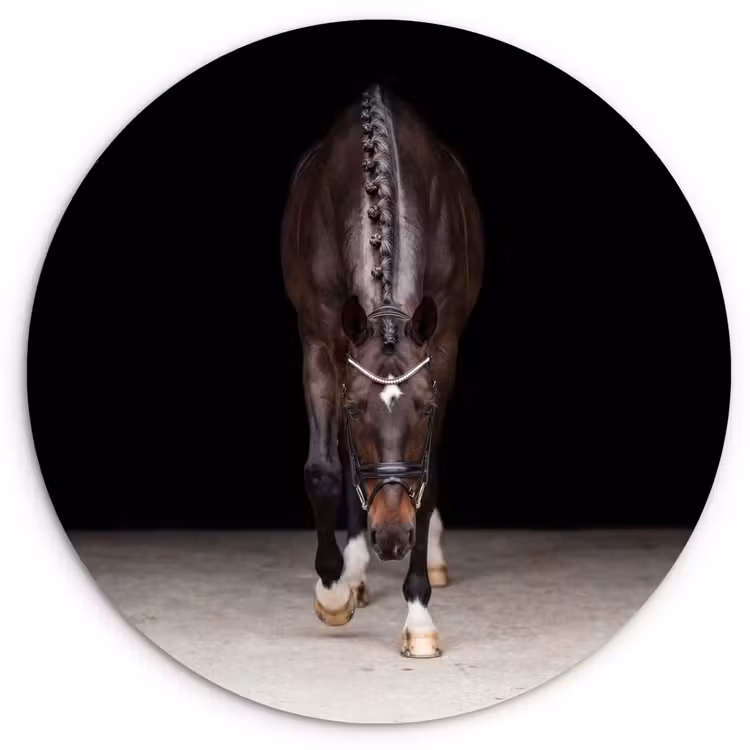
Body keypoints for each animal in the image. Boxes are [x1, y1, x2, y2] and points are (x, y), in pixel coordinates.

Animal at [281, 84, 484, 657]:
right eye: (353, 410)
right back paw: (354, 572)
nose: (392, 538)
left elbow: (426, 481)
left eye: (426, 408)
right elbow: (325, 470)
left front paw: (418, 617)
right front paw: (332, 591)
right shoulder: (320, 343)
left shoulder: (442, 349)